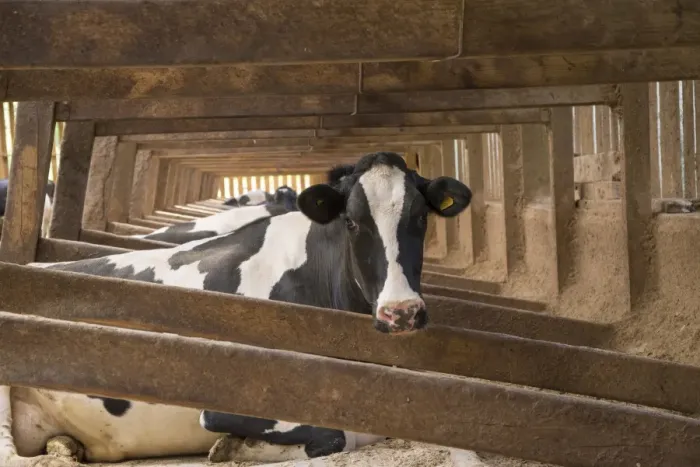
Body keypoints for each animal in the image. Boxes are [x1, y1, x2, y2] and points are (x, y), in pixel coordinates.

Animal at [0, 151, 472, 465]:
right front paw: (236, 446)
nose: (401, 311)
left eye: (421, 219)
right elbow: (338, 435)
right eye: (352, 222)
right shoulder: (229, 405)